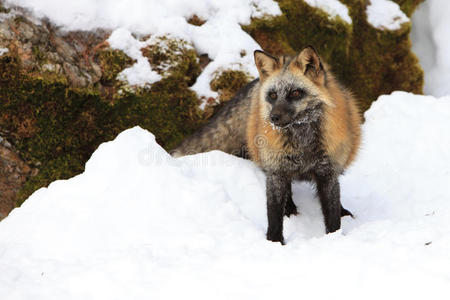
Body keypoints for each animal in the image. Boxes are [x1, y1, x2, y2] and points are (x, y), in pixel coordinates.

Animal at [172, 46, 362, 244]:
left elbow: (332, 214)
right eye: (273, 95)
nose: (273, 118)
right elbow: (274, 214)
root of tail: (256, 82)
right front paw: (274, 241)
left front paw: (335, 237)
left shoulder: (328, 173)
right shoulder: (276, 172)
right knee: (288, 192)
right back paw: (290, 209)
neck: (302, 143)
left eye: (295, 93)